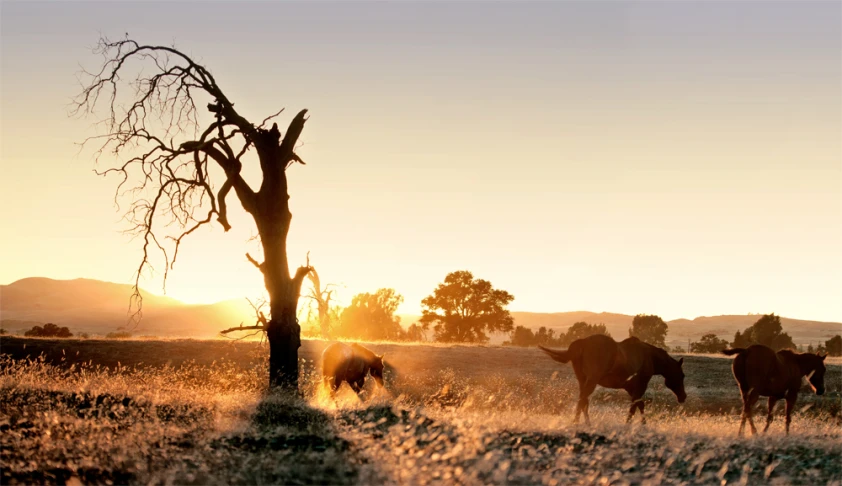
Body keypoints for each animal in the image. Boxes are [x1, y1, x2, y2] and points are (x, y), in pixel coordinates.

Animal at [540, 334, 684, 426]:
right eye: (682, 375)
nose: (683, 397)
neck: (651, 358)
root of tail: (582, 343)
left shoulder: (630, 387)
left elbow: (637, 404)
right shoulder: (641, 385)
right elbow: (637, 405)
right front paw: (636, 424)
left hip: (583, 380)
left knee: (584, 401)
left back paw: (586, 423)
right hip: (591, 380)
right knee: (582, 400)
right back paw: (577, 423)